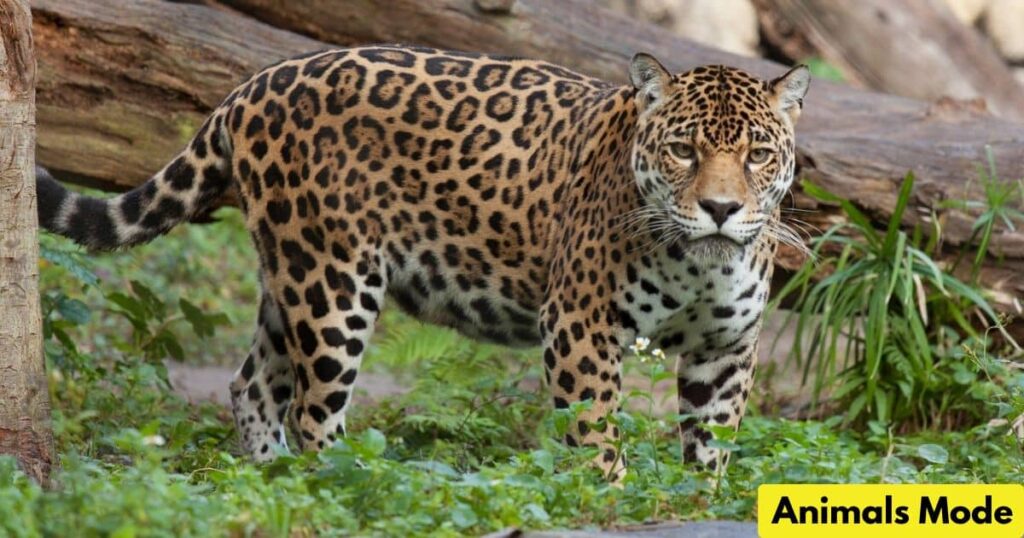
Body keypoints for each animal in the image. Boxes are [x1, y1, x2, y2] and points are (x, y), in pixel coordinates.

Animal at [37, 44, 810, 478]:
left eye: (756, 155)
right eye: (682, 150)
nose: (719, 208)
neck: (702, 264)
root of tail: (253, 84)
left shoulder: (725, 349)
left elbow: (711, 452)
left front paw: (697, 499)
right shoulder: (579, 328)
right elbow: (595, 441)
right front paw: (609, 500)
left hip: (286, 274)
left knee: (251, 383)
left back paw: (270, 481)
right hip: (331, 283)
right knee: (314, 413)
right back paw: (340, 493)